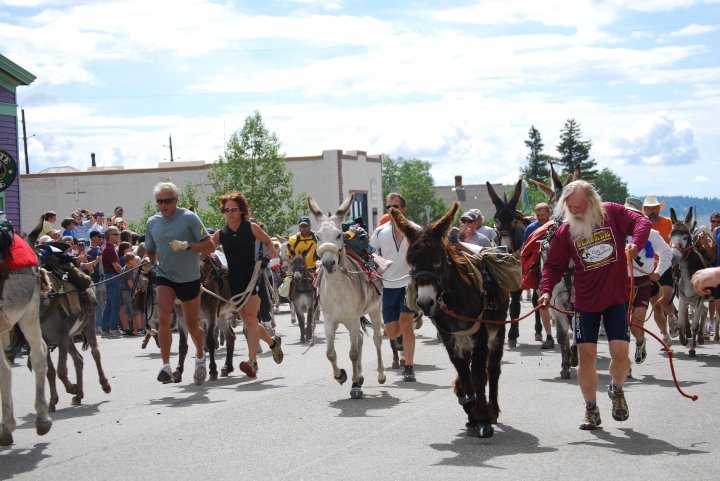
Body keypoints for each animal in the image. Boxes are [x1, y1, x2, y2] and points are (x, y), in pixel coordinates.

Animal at [307, 194, 385, 399]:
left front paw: (355, 385)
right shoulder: (329, 321)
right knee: (360, 338)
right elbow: (330, 353)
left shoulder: (352, 319)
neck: (337, 290)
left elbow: (353, 353)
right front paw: (341, 375)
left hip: (374, 310)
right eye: (317, 236)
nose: (328, 263)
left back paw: (380, 374)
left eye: (339, 235)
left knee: (376, 339)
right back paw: (359, 376)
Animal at [389, 203, 510, 438]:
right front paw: (470, 409)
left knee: (493, 369)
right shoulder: (449, 337)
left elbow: (478, 374)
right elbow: (463, 373)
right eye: (411, 262)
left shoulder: (480, 335)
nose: (425, 303)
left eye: (437, 260)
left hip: (497, 331)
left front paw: (483, 419)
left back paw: (493, 410)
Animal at [669, 207, 712, 357]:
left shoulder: (699, 299)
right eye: (670, 237)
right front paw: (683, 339)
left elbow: (694, 325)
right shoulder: (683, 298)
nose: (672, 257)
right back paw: (701, 337)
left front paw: (692, 349)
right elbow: (682, 322)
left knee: (703, 313)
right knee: (704, 311)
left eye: (685, 237)